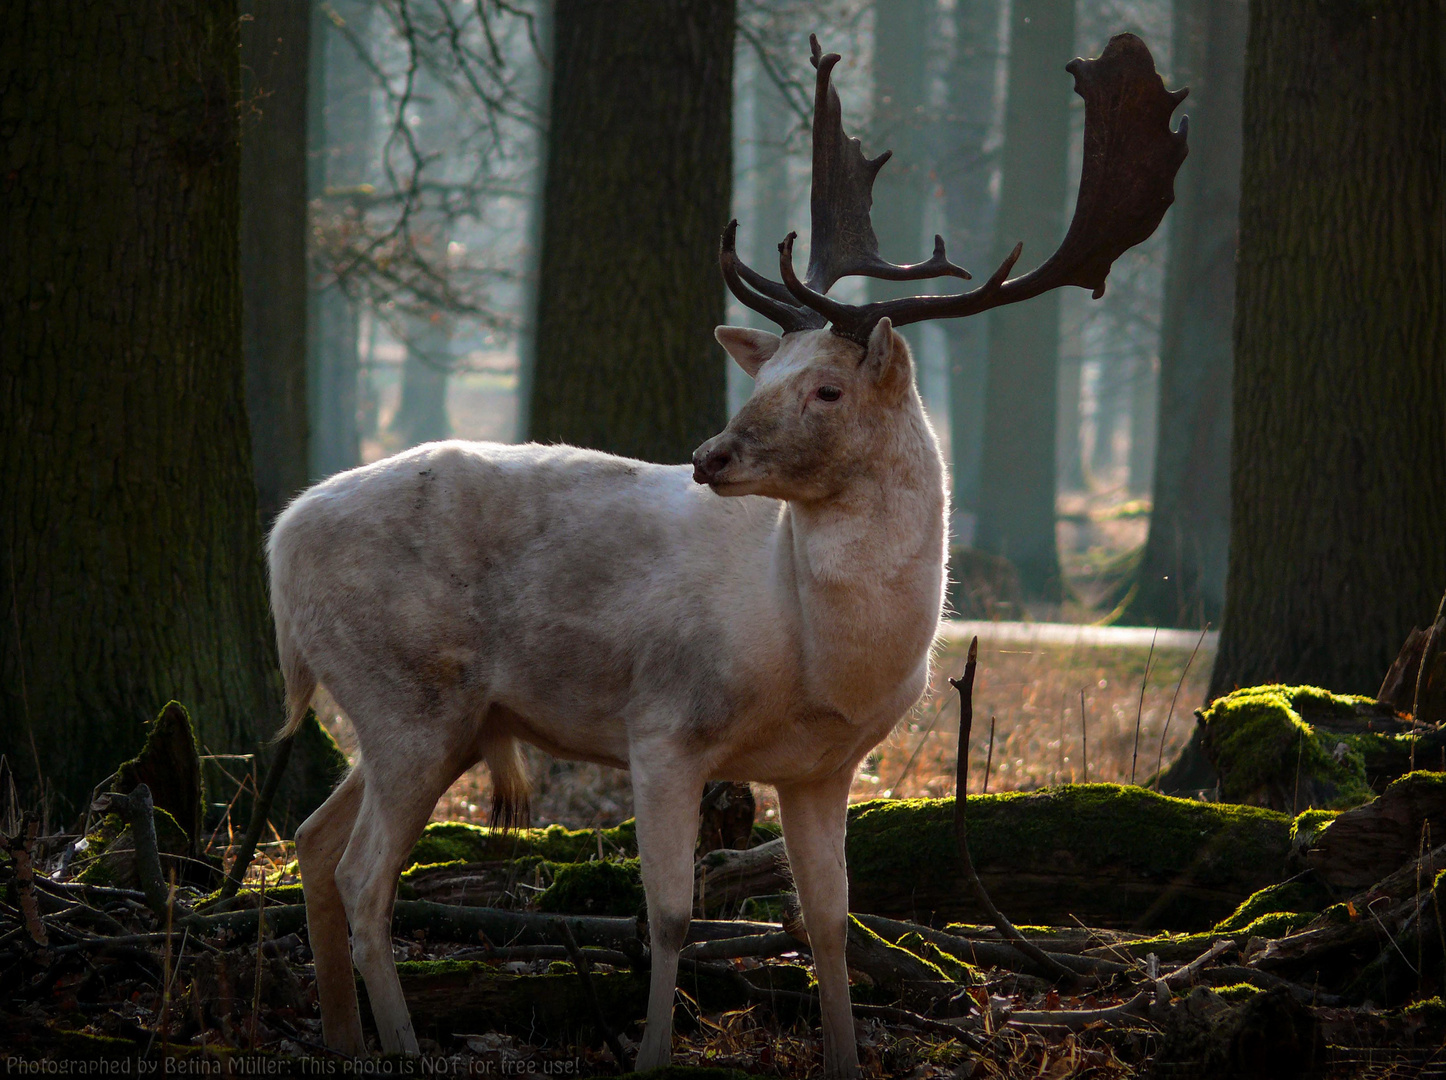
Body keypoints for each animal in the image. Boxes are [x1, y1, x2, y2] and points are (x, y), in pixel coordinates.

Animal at [271, 33, 1185, 1080]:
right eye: (769, 375)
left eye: (827, 388)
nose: (711, 456)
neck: (815, 657)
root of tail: (278, 540)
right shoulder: (663, 724)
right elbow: (671, 914)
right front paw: (651, 1053)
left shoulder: (825, 768)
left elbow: (829, 924)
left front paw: (844, 1055)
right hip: (407, 694)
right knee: (363, 873)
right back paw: (402, 1041)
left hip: (438, 716)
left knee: (312, 842)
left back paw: (344, 1036)